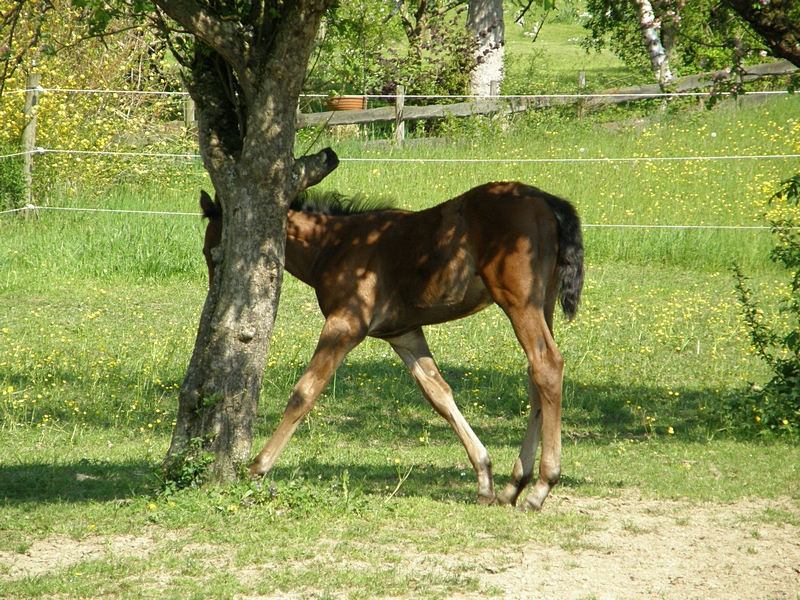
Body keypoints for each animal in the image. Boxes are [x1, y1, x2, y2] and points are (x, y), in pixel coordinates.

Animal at [199, 182, 580, 510]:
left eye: (213, 251)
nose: (218, 305)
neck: (333, 245)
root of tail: (547, 200)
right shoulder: (404, 333)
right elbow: (439, 395)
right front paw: (484, 477)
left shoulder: (345, 325)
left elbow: (304, 393)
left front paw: (258, 468)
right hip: (542, 303)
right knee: (534, 376)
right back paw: (513, 485)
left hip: (519, 302)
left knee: (547, 366)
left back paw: (541, 486)